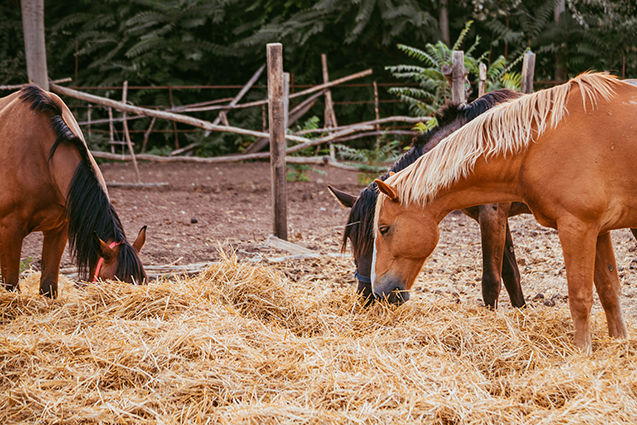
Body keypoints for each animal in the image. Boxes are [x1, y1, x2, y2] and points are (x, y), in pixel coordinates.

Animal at [328, 90, 528, 308]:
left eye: (380, 234)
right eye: (353, 242)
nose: (365, 296)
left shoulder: (492, 215)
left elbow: (491, 282)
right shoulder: (498, 217)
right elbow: (511, 274)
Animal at [372, 73, 636, 350]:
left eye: (384, 229)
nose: (378, 293)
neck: (534, 146)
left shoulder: (573, 226)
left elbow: (577, 295)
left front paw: (582, 352)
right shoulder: (599, 229)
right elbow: (607, 289)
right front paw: (619, 343)